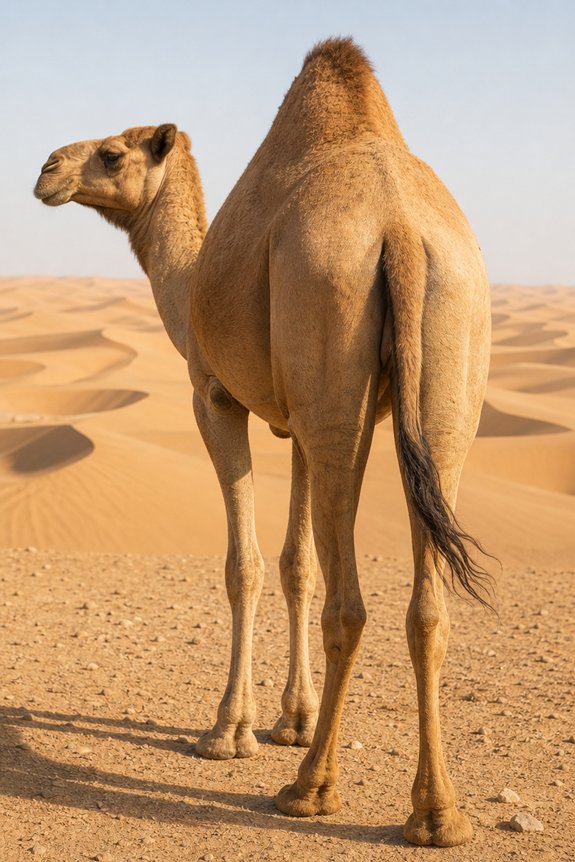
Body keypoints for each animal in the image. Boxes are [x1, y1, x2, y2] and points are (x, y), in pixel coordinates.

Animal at [34, 38, 493, 847]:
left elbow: (244, 565)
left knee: (351, 606)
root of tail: (401, 233)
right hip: (441, 368)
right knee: (427, 605)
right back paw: (436, 814)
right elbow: (295, 564)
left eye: (113, 153)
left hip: (328, 312)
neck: (185, 285)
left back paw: (310, 790)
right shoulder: (302, 420)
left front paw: (229, 732)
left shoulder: (215, 399)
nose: (46, 169)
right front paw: (293, 719)